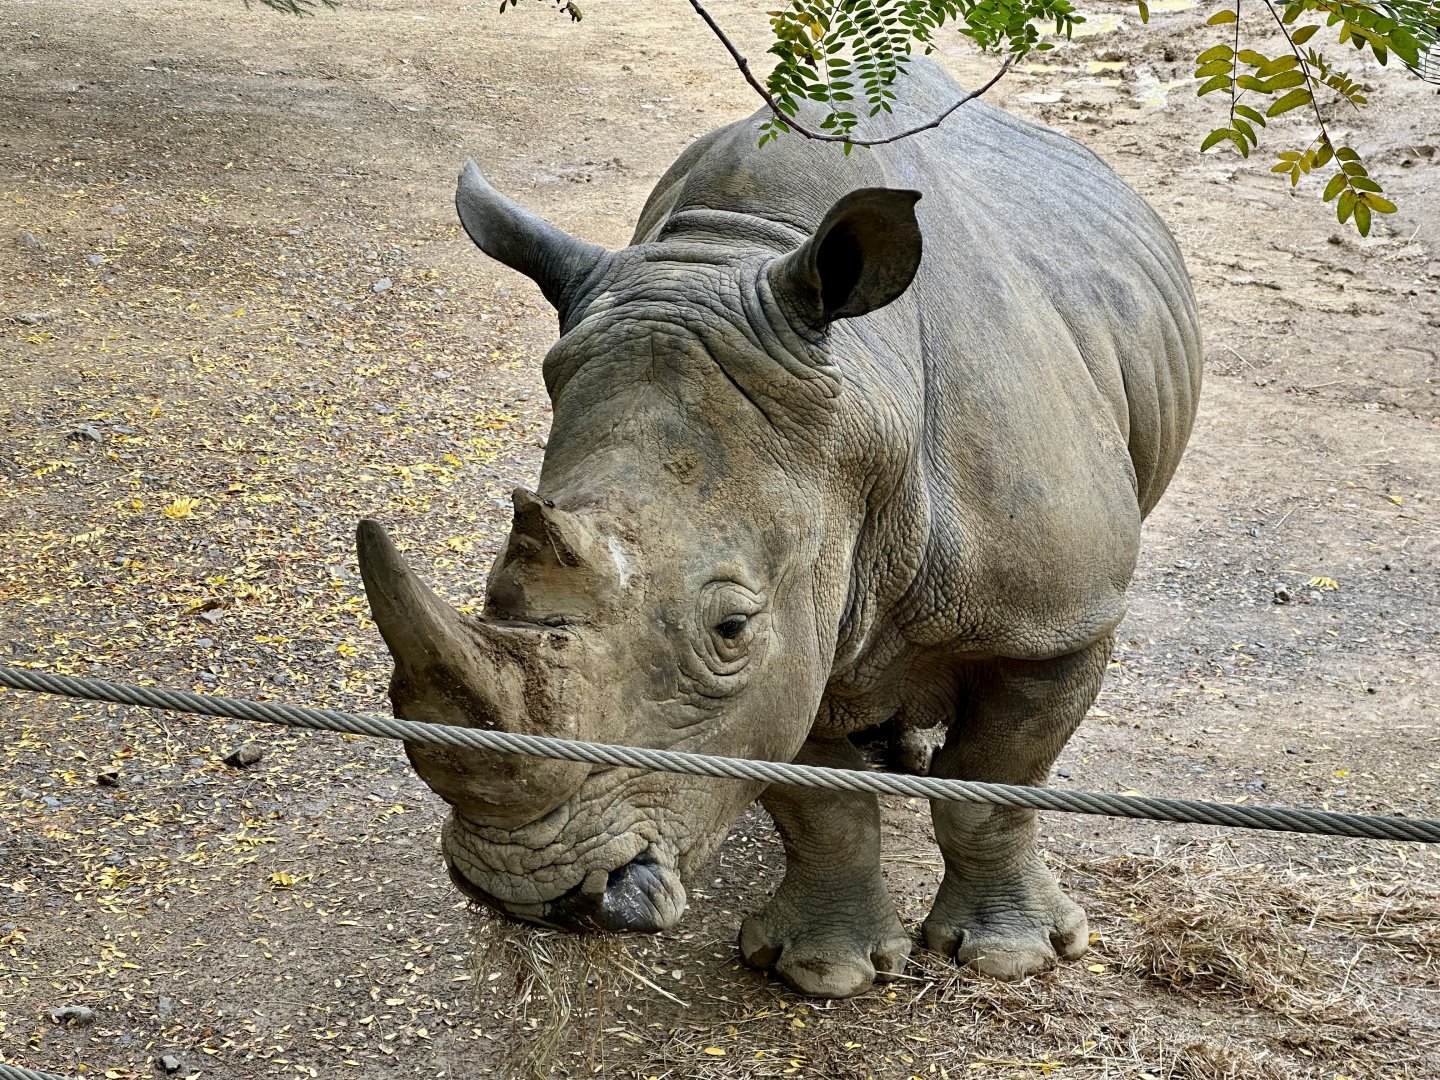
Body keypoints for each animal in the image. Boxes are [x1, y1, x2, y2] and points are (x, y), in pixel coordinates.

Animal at [357, 58, 1201, 999]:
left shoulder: (1060, 616)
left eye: (731, 628)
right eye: (496, 592)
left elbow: (997, 784)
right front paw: (824, 972)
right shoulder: (802, 620)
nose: (524, 893)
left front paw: (1010, 957)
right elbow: (818, 797)